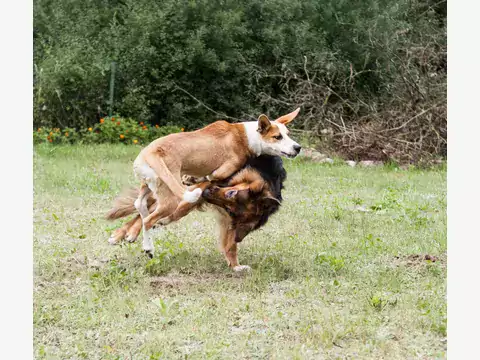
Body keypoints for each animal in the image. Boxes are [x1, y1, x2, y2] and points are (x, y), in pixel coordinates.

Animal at [106, 155, 284, 270]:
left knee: (146, 211)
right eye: (231, 193)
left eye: (230, 209)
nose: (206, 193)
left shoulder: (230, 220)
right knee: (146, 211)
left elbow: (231, 243)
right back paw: (128, 232)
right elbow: (178, 209)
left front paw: (235, 265)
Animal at [127, 108, 300, 255]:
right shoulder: (221, 172)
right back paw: (148, 247)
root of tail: (152, 153)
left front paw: (191, 179)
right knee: (148, 220)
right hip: (170, 198)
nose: (298, 147)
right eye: (277, 137)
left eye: (288, 134)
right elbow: (210, 177)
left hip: (149, 184)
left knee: (140, 205)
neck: (247, 137)